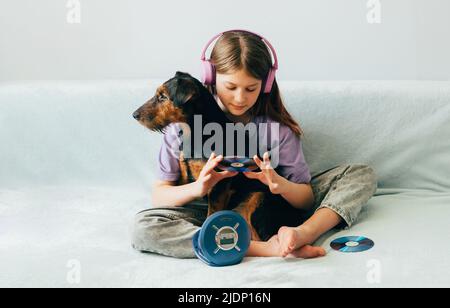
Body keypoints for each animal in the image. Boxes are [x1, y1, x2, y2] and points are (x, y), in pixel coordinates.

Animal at [132, 71, 312, 241]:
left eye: (163, 97)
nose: (134, 115)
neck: (196, 131)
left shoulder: (220, 183)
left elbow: (211, 214)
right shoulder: (184, 175)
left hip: (258, 200)